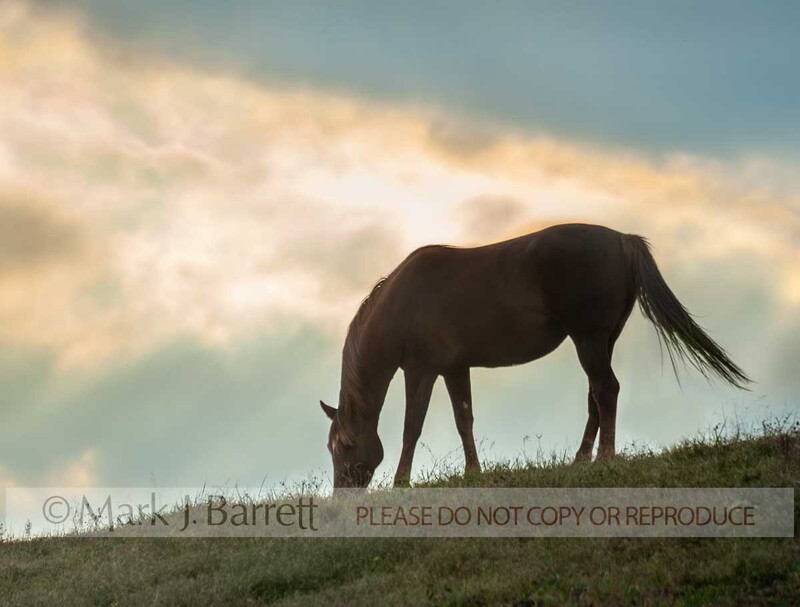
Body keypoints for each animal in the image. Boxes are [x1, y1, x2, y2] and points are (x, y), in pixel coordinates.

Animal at [319, 223, 750, 488]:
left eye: (342, 447)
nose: (343, 495)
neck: (403, 300)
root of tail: (623, 239)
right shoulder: (455, 368)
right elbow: (464, 420)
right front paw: (473, 472)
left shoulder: (420, 370)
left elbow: (412, 426)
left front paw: (401, 482)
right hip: (602, 340)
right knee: (596, 396)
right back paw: (581, 460)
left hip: (588, 339)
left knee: (606, 390)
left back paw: (604, 458)